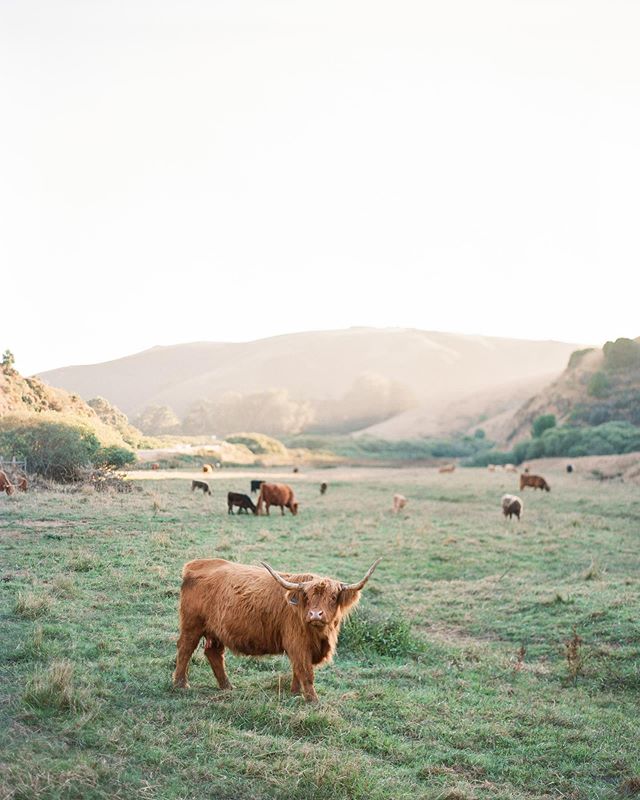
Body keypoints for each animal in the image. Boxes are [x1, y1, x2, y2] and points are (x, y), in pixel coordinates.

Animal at [172, 556, 380, 700]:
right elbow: (306, 672)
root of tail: (196, 564)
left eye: (333, 597)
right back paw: (181, 684)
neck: (319, 635)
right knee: (185, 649)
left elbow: (297, 670)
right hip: (192, 625)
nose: (315, 615)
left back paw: (227, 687)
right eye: (307, 596)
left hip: (216, 631)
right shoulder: (297, 643)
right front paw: (313, 700)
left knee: (213, 653)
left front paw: (295, 693)